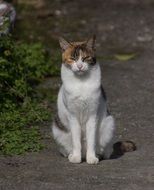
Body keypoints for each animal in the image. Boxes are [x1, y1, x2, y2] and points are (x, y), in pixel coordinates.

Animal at [52, 36, 136, 164]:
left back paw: (97, 155)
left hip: (109, 123)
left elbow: (91, 139)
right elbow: (76, 140)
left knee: (106, 150)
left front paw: (91, 158)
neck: (81, 83)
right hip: (57, 128)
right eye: (73, 58)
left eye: (85, 58)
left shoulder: (92, 115)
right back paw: (73, 155)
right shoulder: (73, 116)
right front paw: (76, 158)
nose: (80, 66)